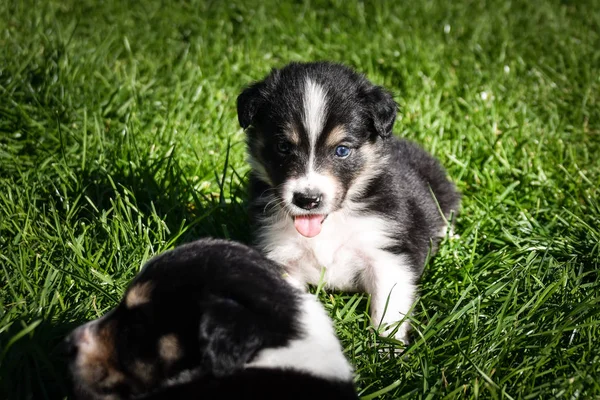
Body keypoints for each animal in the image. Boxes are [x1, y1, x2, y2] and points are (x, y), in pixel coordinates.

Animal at [238, 61, 460, 342]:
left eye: (342, 150)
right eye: (283, 147)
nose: (307, 200)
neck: (331, 223)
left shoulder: (387, 255)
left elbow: (388, 315)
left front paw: (385, 350)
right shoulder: (282, 259)